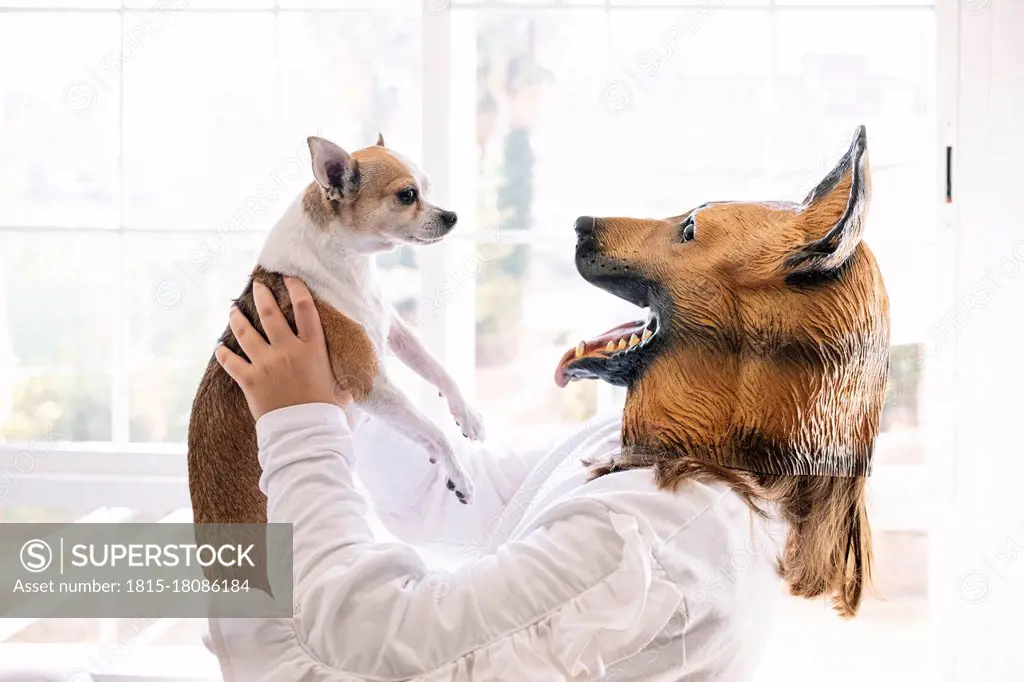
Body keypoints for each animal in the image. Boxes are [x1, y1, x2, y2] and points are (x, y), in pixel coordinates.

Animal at [187, 134, 479, 532]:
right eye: (407, 195)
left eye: (429, 189)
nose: (452, 216)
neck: (351, 263)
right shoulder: (368, 381)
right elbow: (433, 430)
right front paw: (458, 470)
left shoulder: (393, 331)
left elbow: (438, 370)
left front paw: (467, 414)